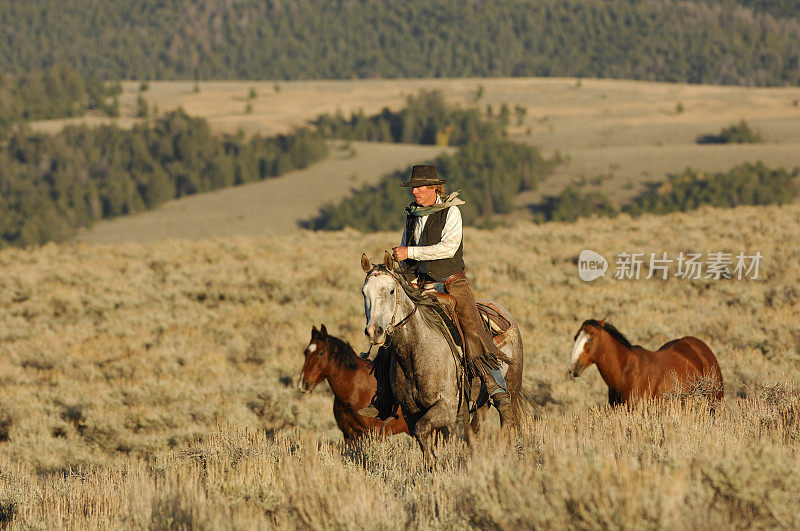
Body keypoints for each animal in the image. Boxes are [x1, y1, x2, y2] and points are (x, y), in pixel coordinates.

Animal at [360, 251, 524, 468]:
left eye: (391, 291)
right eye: (364, 292)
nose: (374, 331)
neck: (416, 351)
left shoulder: (447, 407)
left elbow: (422, 430)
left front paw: (435, 463)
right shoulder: (410, 411)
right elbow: (421, 436)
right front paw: (432, 465)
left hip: (511, 385)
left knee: (507, 416)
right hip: (480, 402)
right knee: (477, 428)